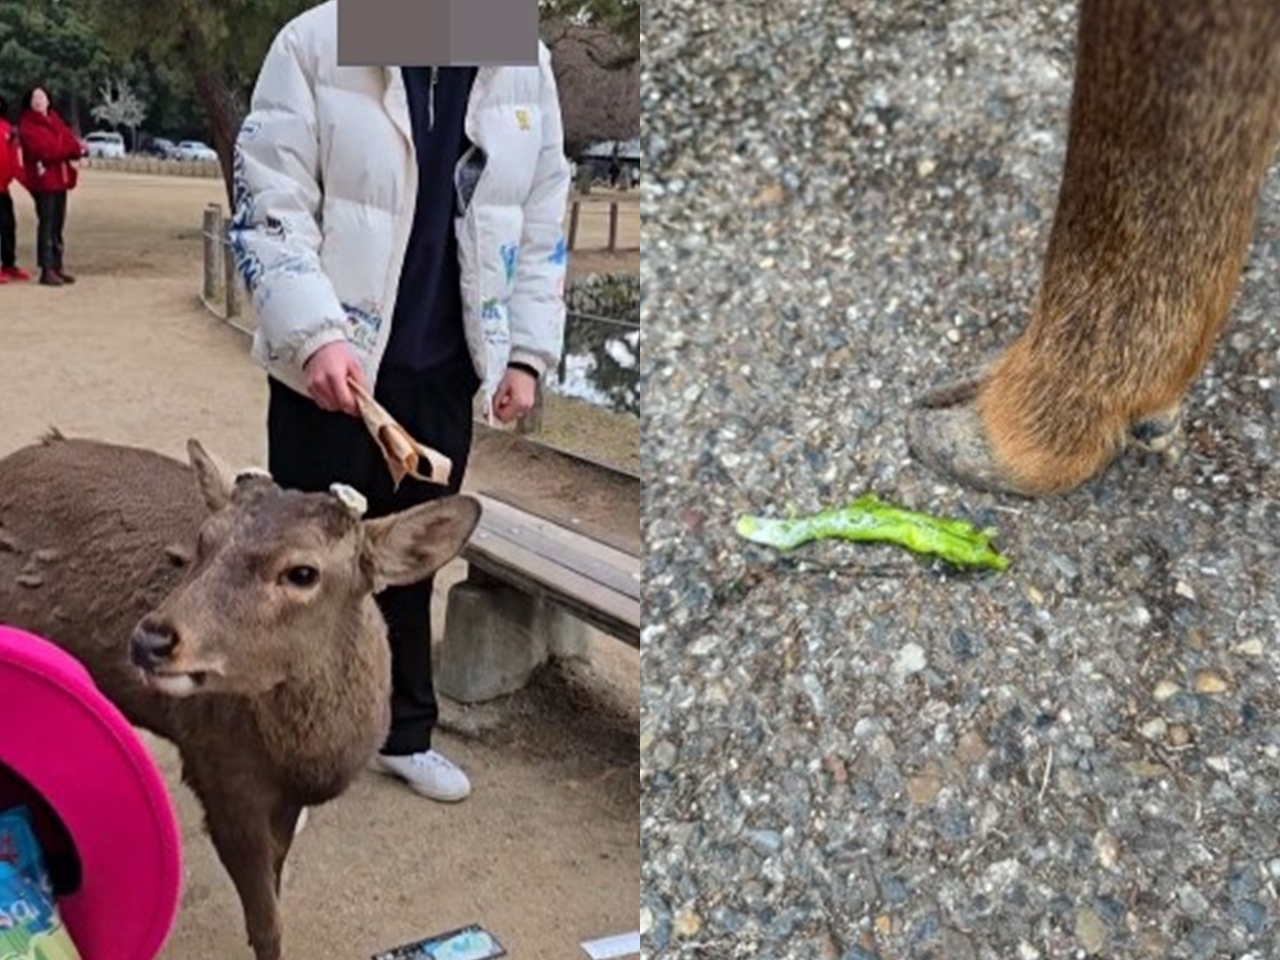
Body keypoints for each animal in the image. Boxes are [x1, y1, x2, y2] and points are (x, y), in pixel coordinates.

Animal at [0, 432, 481, 957]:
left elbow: (276, 879)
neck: (308, 761)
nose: (149, 639)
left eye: (303, 572)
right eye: (202, 540)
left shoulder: (283, 799)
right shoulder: (219, 775)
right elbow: (266, 921)